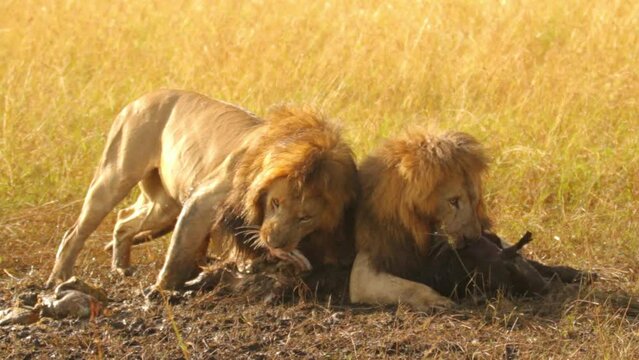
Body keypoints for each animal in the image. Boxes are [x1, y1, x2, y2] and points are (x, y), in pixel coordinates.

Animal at [48, 89, 360, 290]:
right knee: (74, 232)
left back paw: (121, 267)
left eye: (305, 217)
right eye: (275, 203)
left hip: (165, 206)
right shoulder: (202, 199)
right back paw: (60, 277)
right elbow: (179, 251)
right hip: (115, 176)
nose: (276, 242)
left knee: (124, 220)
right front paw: (160, 291)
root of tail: (141, 97)